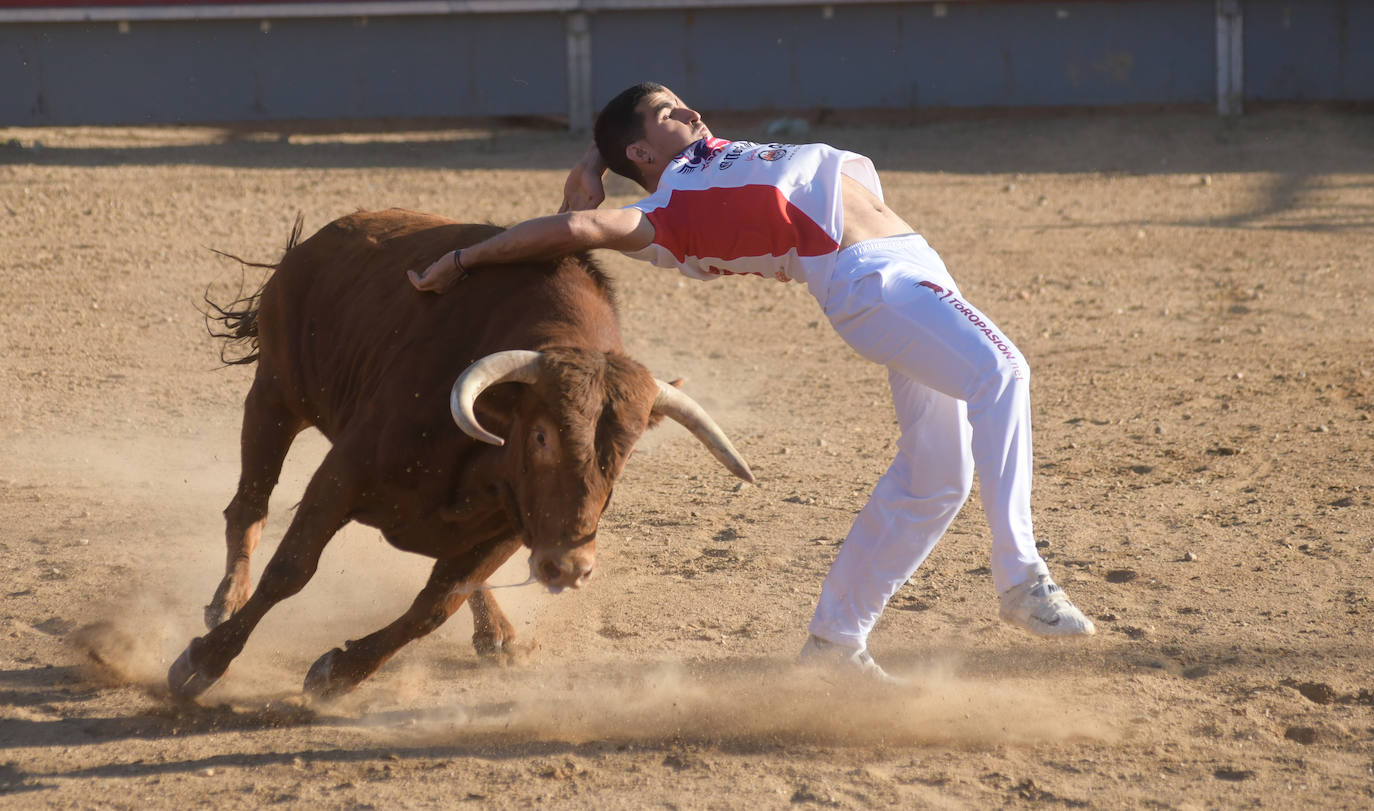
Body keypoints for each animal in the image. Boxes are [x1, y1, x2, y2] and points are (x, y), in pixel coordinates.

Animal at [169, 210, 763, 703]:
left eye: (627, 450)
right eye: (542, 436)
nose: (571, 567)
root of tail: (317, 242)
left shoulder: (514, 529)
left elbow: (435, 605)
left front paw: (337, 673)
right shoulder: (342, 475)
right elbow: (291, 569)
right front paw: (202, 662)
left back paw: (497, 633)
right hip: (274, 395)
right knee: (250, 504)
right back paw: (225, 600)